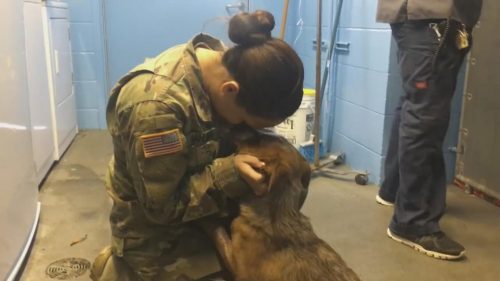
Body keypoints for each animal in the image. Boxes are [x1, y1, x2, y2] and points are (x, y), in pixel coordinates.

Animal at [205, 129, 362, 280]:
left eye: (260, 140)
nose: (233, 128)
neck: (281, 212)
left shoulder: (236, 264)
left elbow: (219, 234)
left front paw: (208, 220)